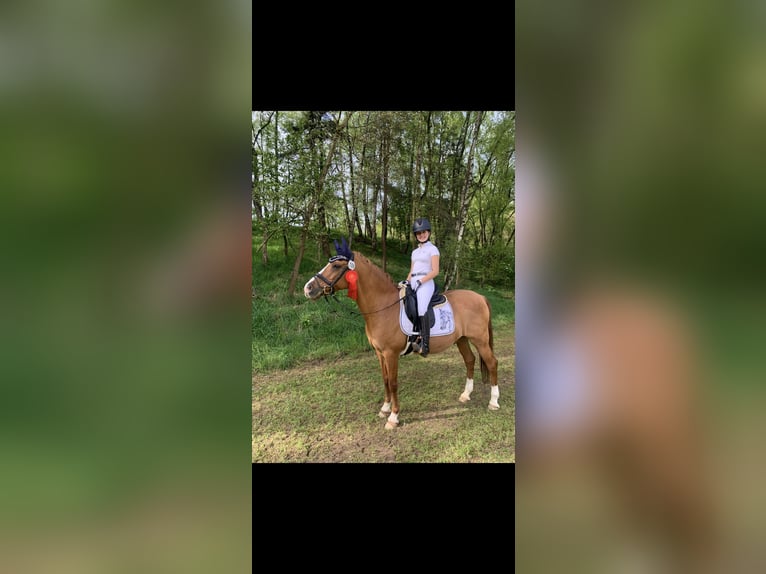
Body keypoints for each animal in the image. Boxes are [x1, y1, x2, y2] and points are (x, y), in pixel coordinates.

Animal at [303, 239, 500, 429]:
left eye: (336, 266)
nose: (308, 288)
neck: (383, 307)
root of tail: (480, 297)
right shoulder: (380, 353)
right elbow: (385, 380)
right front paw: (384, 409)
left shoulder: (391, 354)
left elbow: (393, 383)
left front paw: (393, 417)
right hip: (462, 339)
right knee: (470, 360)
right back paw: (466, 395)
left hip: (480, 340)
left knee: (492, 363)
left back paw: (493, 402)